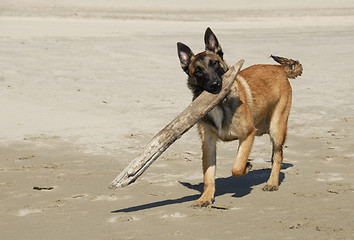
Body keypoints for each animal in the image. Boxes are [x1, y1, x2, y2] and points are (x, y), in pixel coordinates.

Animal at [176, 26, 302, 206]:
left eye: (215, 63)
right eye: (198, 71)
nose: (215, 85)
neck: (220, 104)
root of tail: (278, 68)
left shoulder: (248, 135)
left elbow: (237, 167)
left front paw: (247, 166)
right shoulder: (208, 143)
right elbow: (208, 175)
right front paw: (206, 197)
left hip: (277, 128)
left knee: (278, 155)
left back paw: (272, 182)